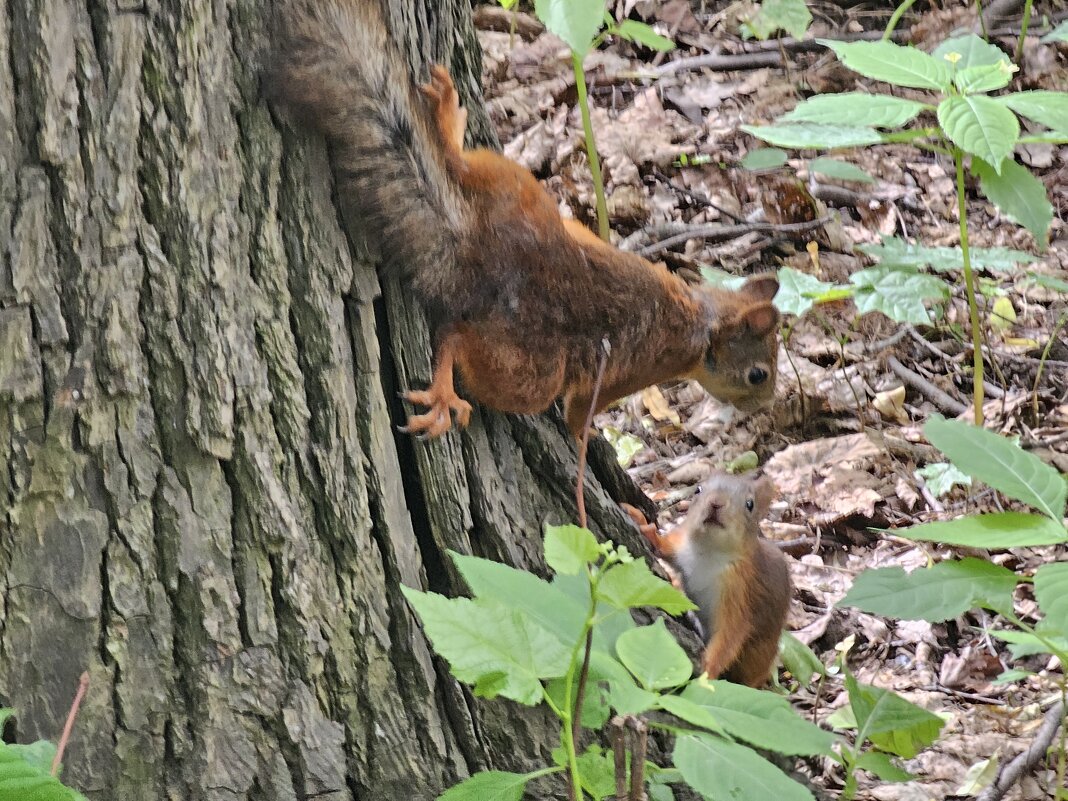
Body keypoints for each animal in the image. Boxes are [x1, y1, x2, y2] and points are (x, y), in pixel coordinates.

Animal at [271, 0, 781, 440]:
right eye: (758, 374)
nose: (764, 407)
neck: (699, 319)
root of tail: (482, 253)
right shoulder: (638, 370)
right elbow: (579, 418)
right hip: (531, 373)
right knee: (459, 338)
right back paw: (443, 395)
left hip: (514, 186)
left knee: (460, 167)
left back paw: (446, 119)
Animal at [623, 469, 790, 692]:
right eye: (698, 489)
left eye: (750, 504)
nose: (716, 503)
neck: (709, 551)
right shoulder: (682, 550)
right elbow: (664, 548)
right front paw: (644, 525)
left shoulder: (741, 592)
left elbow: (730, 633)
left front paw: (708, 670)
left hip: (757, 656)